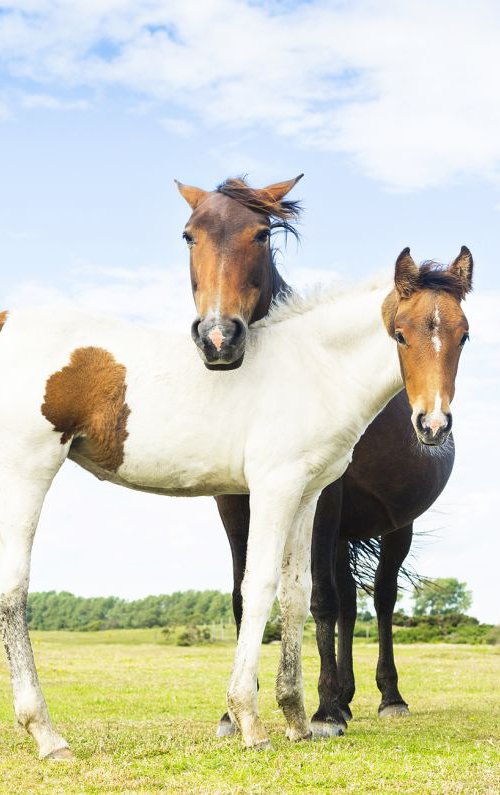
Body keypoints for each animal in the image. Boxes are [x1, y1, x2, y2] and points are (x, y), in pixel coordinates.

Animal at [0, 250, 468, 760]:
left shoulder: (307, 495)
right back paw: (47, 735)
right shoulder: (272, 488)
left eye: (464, 334)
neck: (315, 367)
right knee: (14, 590)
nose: (433, 424)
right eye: (400, 333)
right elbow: (259, 587)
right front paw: (249, 721)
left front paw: (297, 719)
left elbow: (297, 594)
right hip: (27, 468)